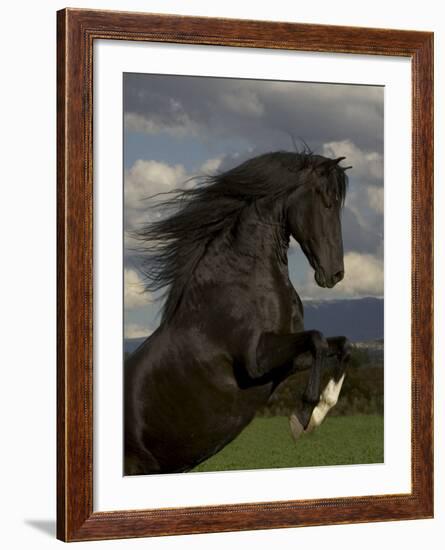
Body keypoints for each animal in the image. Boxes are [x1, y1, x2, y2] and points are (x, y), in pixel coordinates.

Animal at [124, 150, 350, 474]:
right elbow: (318, 340)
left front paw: (320, 411)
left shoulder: (287, 361)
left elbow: (341, 345)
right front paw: (302, 419)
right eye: (326, 202)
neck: (242, 280)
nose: (335, 274)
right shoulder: (256, 361)